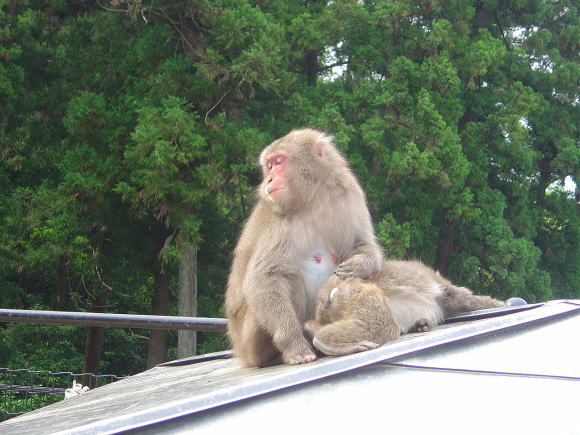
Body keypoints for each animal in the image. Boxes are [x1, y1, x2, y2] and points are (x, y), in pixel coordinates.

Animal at [227, 129, 386, 368]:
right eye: (269, 165)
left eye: (279, 161)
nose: (269, 179)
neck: (314, 198)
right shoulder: (279, 220)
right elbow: (264, 278)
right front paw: (295, 346)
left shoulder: (350, 194)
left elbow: (362, 243)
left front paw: (360, 264)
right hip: (249, 342)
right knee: (289, 277)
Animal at [306, 258, 506, 358]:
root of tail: (325, 295)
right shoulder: (443, 287)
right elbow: (465, 299)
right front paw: (499, 304)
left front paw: (422, 325)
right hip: (354, 292)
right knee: (383, 325)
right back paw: (325, 341)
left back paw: (311, 330)